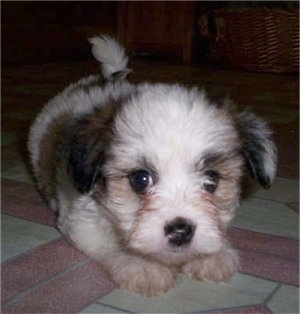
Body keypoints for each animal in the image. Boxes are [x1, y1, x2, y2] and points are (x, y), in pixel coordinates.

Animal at [28, 35, 276, 296]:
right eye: (141, 179)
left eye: (212, 179)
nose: (180, 230)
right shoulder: (82, 220)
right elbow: (110, 242)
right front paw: (142, 264)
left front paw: (212, 255)